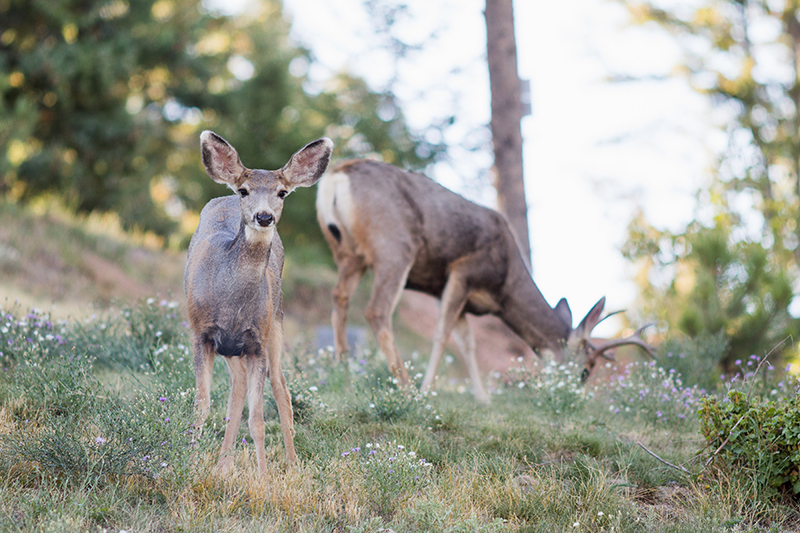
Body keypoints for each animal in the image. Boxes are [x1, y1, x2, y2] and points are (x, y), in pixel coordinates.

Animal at [185, 131, 332, 475]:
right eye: (244, 190)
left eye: (282, 192)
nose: (264, 217)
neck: (231, 303)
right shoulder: (200, 333)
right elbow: (202, 406)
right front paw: (187, 464)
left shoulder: (257, 342)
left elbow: (258, 420)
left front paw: (264, 478)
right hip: (231, 348)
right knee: (237, 388)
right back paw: (223, 465)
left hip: (276, 321)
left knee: (282, 389)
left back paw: (292, 464)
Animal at [316, 159, 653, 404]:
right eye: (585, 370)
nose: (574, 397)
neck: (504, 288)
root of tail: (338, 175)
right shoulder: (463, 271)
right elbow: (442, 334)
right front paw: (427, 390)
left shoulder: (452, 294)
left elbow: (468, 343)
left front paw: (483, 398)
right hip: (394, 247)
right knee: (376, 310)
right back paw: (406, 386)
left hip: (349, 254)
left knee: (339, 298)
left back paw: (343, 371)